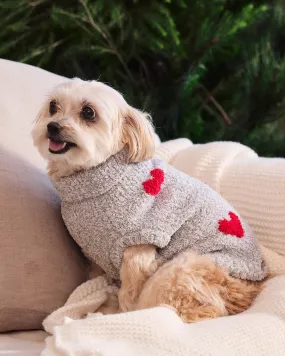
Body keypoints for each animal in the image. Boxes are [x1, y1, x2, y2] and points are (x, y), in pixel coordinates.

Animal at [32, 78, 266, 322]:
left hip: (179, 269)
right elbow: (95, 280)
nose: (52, 126)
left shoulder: (138, 249)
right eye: (53, 106)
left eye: (89, 112)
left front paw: (120, 314)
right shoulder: (94, 259)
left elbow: (129, 294)